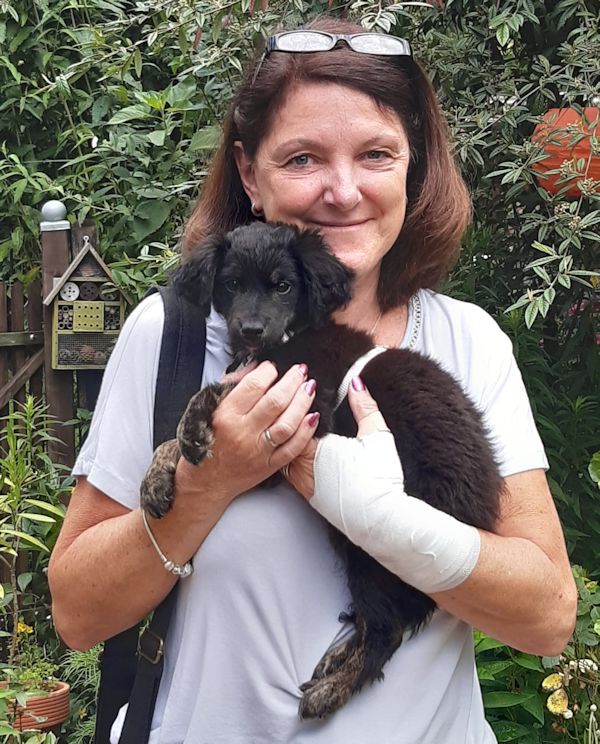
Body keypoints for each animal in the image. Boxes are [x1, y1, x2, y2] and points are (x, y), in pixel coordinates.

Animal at [140, 221, 504, 720]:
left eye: (283, 286)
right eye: (231, 283)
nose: (250, 330)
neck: (289, 338)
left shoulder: (305, 410)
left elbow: (213, 393)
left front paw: (188, 432)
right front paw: (156, 477)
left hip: (380, 552)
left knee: (386, 631)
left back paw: (332, 690)